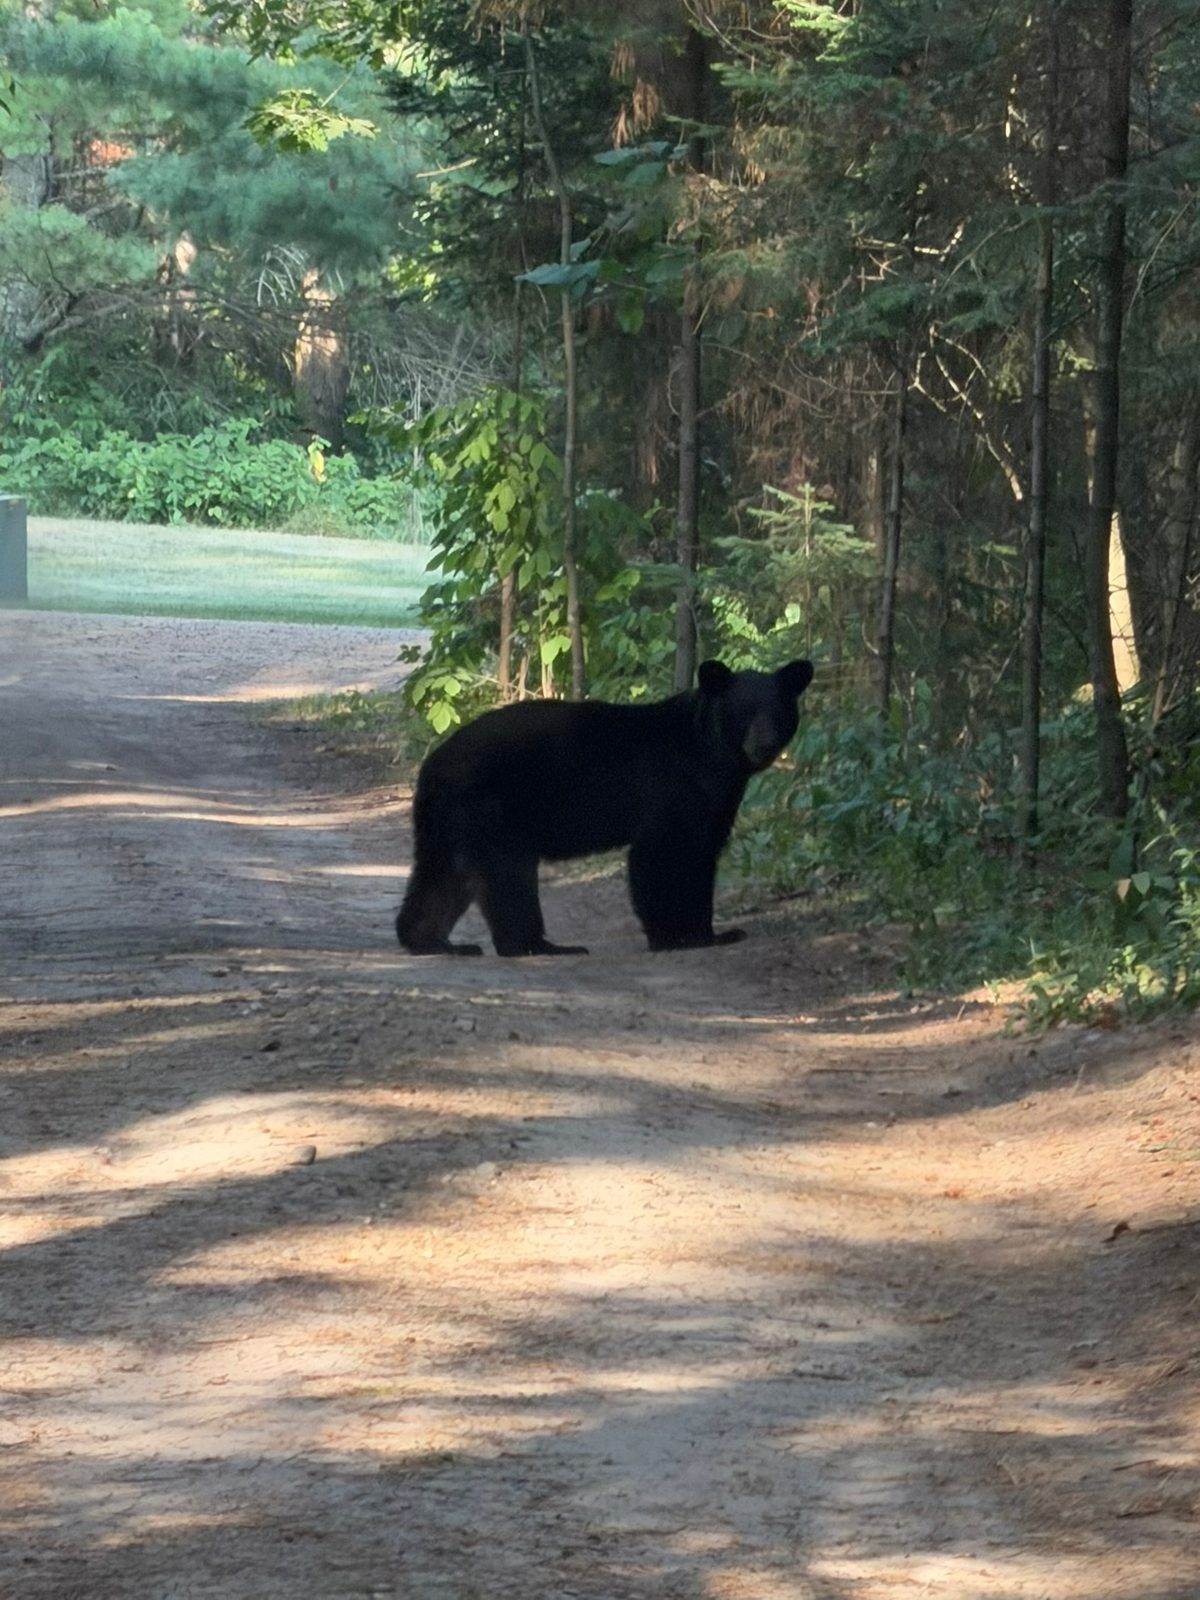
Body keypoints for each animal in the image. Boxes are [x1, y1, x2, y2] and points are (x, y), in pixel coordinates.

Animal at [396, 657, 814, 958]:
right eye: (743, 711)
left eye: (777, 711)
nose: (763, 745)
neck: (711, 757)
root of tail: (433, 765)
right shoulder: (669, 790)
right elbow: (659, 857)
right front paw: (675, 937)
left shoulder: (715, 805)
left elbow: (701, 858)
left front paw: (712, 933)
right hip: (494, 808)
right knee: (506, 873)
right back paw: (540, 945)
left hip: (451, 820)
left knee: (443, 875)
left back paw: (433, 941)